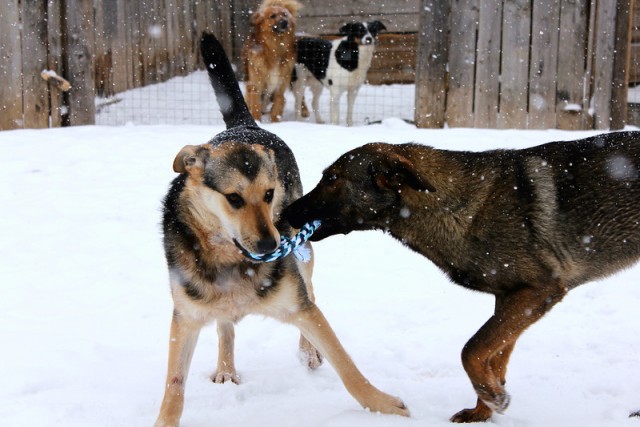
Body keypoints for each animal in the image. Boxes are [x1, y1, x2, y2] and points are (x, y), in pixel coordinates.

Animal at [284, 133, 640, 422]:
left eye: (332, 178)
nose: (284, 213)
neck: (456, 206)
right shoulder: (509, 298)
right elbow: (494, 357)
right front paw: (485, 408)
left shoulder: (540, 290)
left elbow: (471, 350)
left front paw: (494, 398)